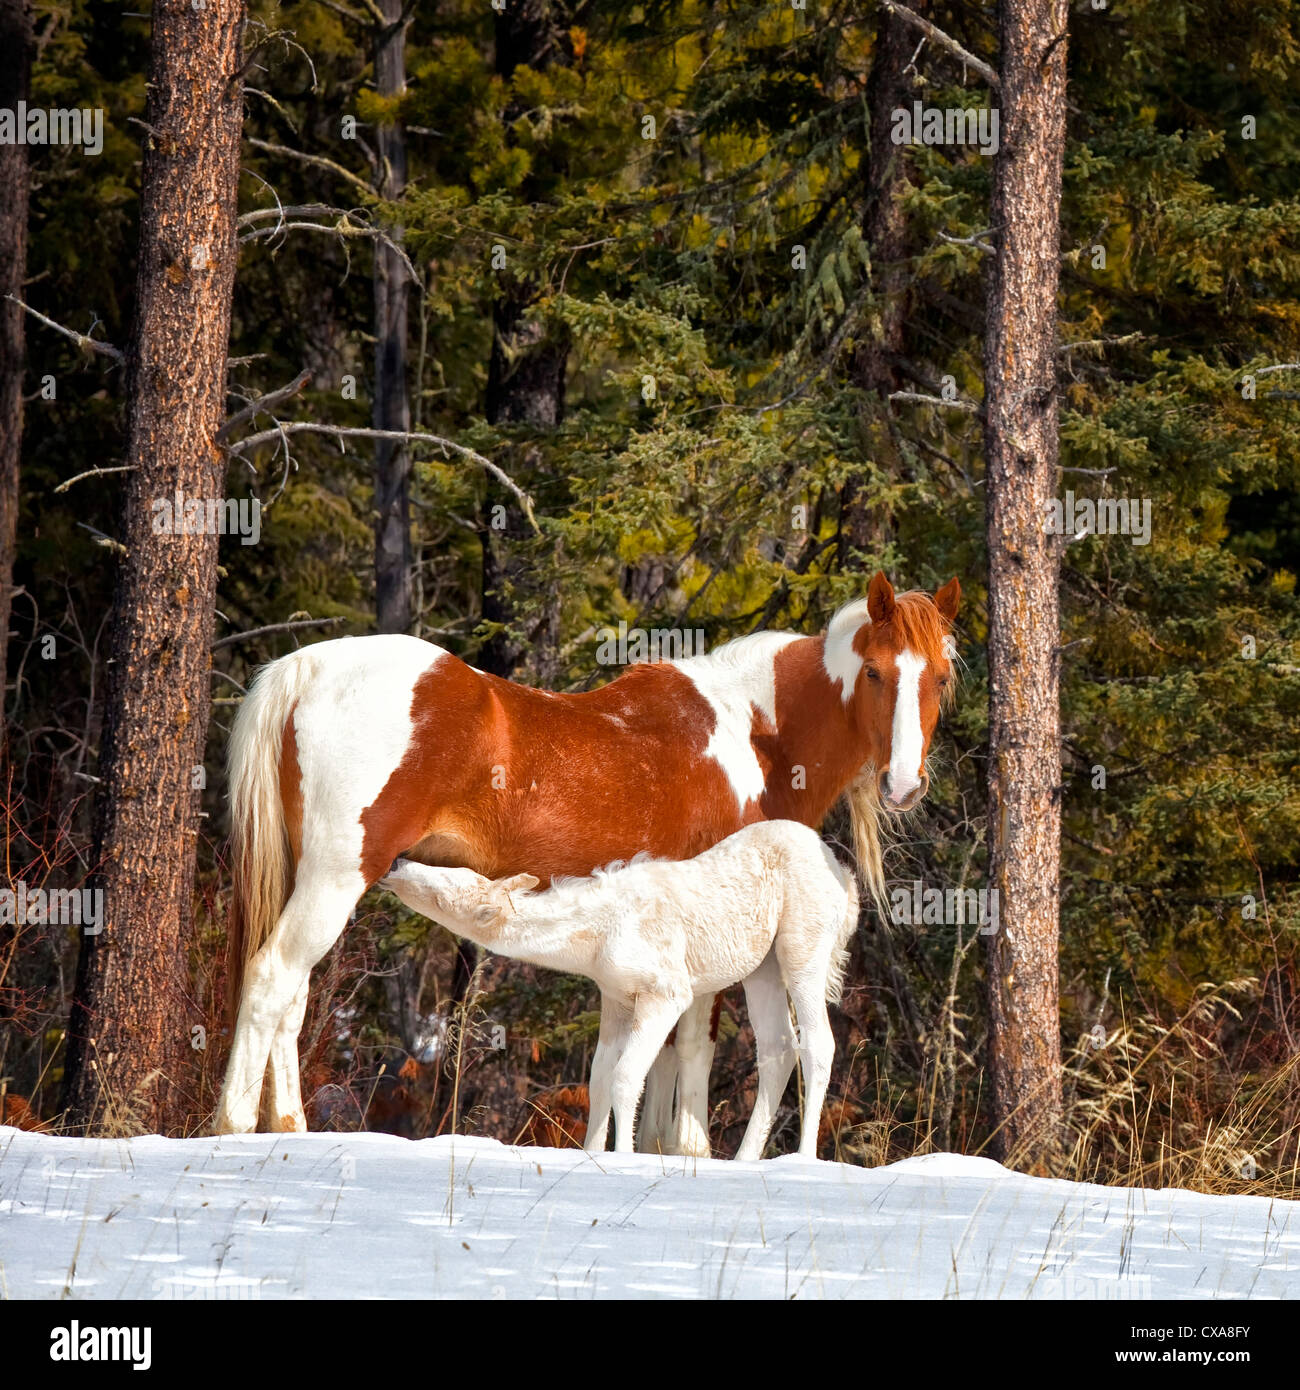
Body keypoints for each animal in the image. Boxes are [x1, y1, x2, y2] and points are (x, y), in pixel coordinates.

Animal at [380, 817, 856, 1156]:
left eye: (446, 889)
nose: (396, 862)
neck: (592, 941)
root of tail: (846, 880)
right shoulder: (614, 997)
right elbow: (598, 1081)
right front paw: (592, 1152)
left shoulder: (667, 992)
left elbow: (627, 1078)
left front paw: (624, 1155)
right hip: (763, 967)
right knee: (778, 1046)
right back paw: (744, 1158)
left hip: (803, 948)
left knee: (819, 1042)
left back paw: (803, 1157)